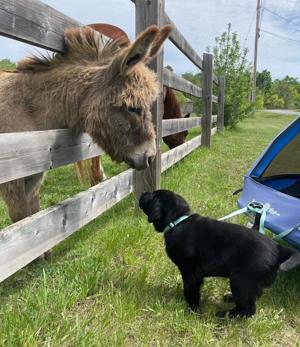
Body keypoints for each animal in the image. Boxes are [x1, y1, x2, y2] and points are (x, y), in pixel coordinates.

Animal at [139, 190, 298, 318]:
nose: (142, 193)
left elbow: (191, 292)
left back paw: (225, 314)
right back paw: (230, 298)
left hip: (240, 279)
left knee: (249, 308)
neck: (177, 221)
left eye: (151, 195)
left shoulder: (191, 273)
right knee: (255, 295)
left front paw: (192, 310)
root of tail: (279, 248)